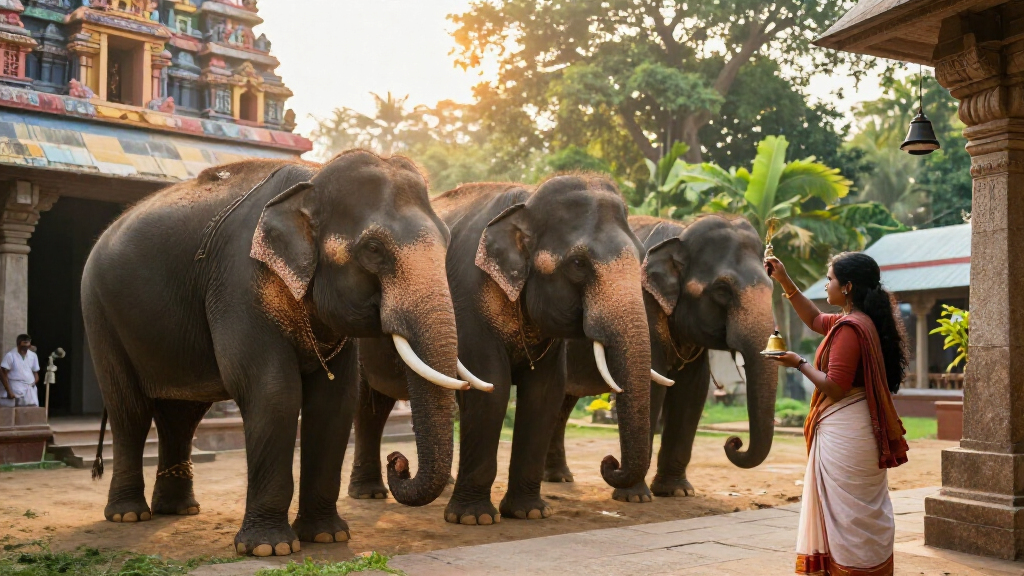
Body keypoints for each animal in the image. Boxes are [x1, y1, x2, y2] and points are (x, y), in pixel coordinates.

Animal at [82, 150, 464, 556]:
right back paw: (128, 515)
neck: (313, 180)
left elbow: (335, 400)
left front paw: (327, 536)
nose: (398, 461)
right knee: (130, 411)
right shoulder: (239, 281)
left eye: (447, 242)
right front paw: (270, 548)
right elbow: (273, 392)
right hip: (99, 314)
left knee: (181, 415)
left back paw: (179, 510)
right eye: (374, 249)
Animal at [346, 175, 658, 525]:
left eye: (642, 257)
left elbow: (544, 394)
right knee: (368, 404)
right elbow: (492, 388)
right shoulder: (468, 299)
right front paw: (474, 519)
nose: (610, 461)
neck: (527, 201)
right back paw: (368, 493)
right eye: (578, 263)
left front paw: (530, 512)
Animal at [543, 214, 776, 501]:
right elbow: (653, 385)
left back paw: (559, 477)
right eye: (722, 290)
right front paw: (635, 497)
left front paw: (678, 492)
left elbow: (692, 391)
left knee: (564, 401)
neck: (680, 234)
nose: (734, 442)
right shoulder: (643, 306)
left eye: (772, 287)